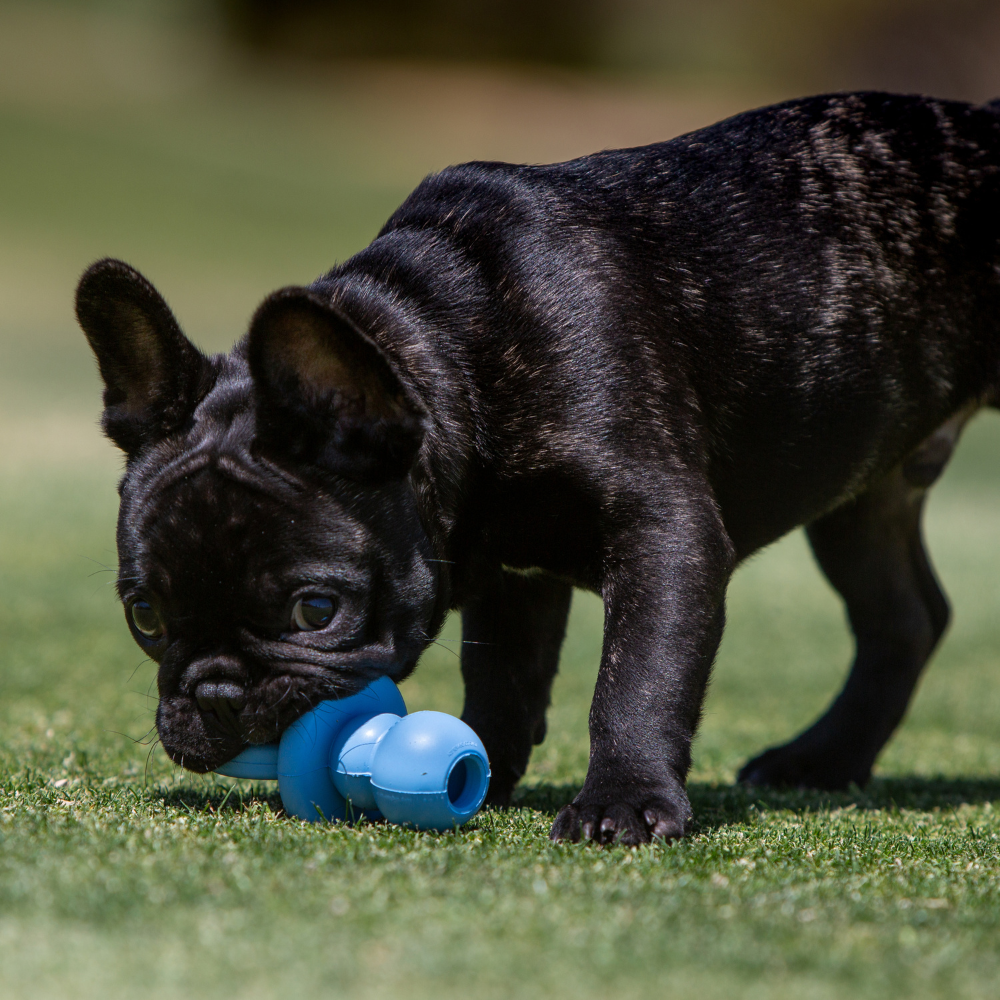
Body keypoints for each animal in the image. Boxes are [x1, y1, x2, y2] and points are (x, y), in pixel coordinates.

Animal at [78, 92, 1000, 844]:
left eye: (316, 610)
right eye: (145, 616)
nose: (217, 695)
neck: (445, 343)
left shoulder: (664, 531)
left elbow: (638, 676)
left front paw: (624, 801)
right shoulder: (509, 575)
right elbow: (504, 677)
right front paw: (481, 768)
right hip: (861, 493)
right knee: (904, 618)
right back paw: (824, 758)